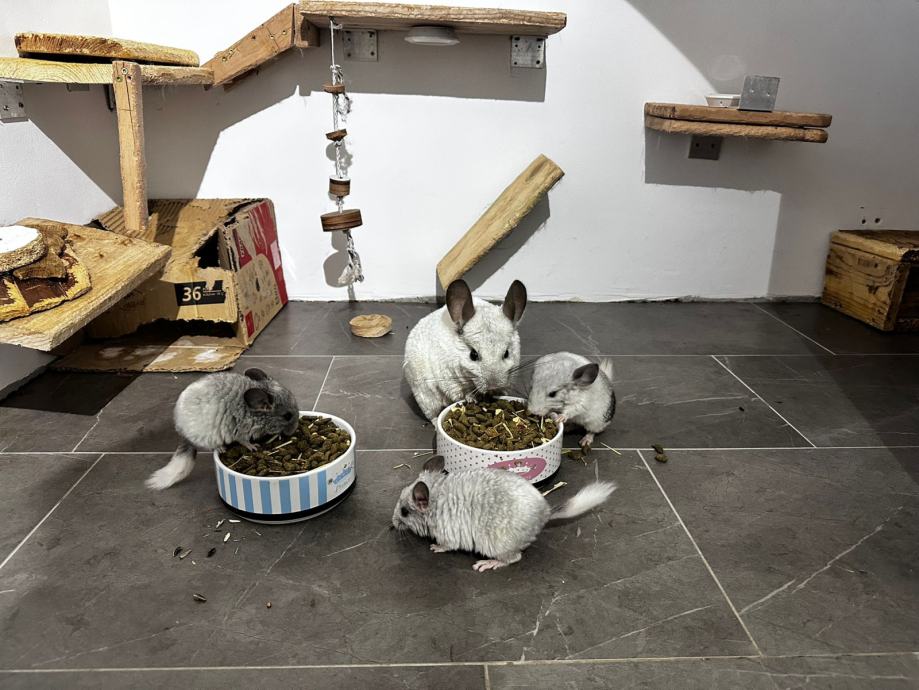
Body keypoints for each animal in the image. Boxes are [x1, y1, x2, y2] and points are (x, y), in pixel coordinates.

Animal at [403, 279, 527, 422]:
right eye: (473, 355)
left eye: (506, 353)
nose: (493, 386)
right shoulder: (451, 381)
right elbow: (463, 393)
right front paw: (471, 398)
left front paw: (498, 393)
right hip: (426, 396)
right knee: (432, 415)